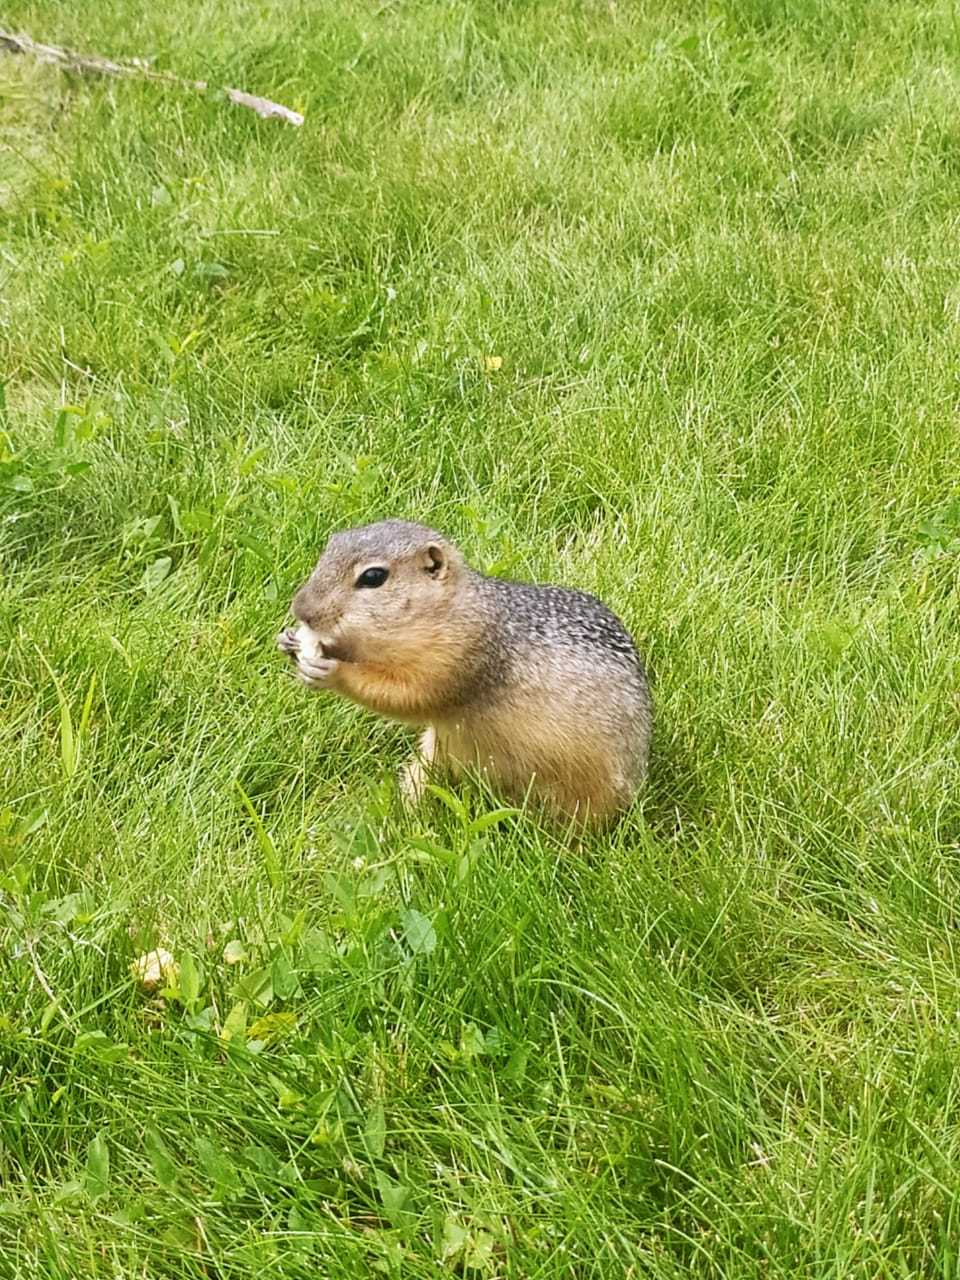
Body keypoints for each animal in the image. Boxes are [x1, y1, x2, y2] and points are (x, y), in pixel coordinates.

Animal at [277, 517, 655, 824]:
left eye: (373, 577)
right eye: (331, 544)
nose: (301, 607)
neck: (448, 609)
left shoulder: (460, 655)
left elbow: (406, 695)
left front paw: (332, 671)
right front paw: (291, 641)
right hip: (432, 758)